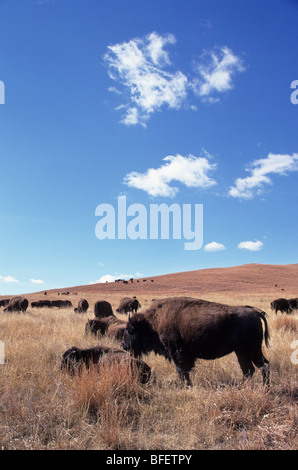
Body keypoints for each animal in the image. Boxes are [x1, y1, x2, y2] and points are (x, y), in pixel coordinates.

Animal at [121, 298, 270, 386]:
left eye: (130, 330)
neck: (153, 322)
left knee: (250, 370)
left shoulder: (176, 352)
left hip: (243, 352)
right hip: (254, 351)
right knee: (262, 366)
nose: (123, 345)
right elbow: (184, 371)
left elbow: (181, 370)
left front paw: (185, 386)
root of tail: (255, 312)